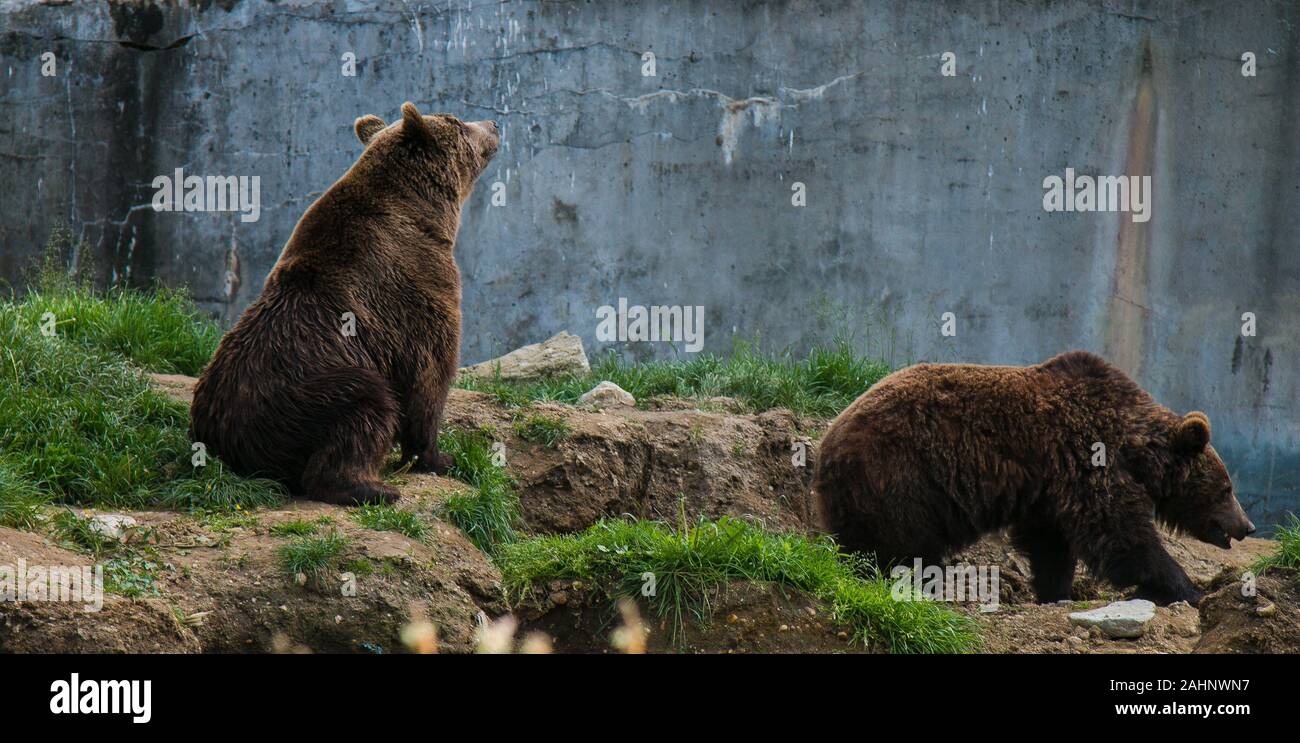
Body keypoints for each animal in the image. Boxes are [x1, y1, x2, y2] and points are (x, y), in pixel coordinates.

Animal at [189, 101, 499, 503]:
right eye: (457, 122)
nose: (494, 123)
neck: (423, 213)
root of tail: (231, 448)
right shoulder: (418, 289)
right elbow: (430, 374)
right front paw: (438, 456)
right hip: (307, 396)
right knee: (366, 407)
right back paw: (373, 488)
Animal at [816, 350, 1253, 605]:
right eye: (1226, 488)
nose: (1246, 525)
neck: (1135, 449)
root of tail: (827, 443)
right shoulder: (1090, 458)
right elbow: (1121, 535)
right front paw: (1186, 588)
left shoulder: (1051, 487)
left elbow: (1051, 544)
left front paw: (1055, 591)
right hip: (903, 478)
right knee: (908, 548)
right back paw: (927, 585)